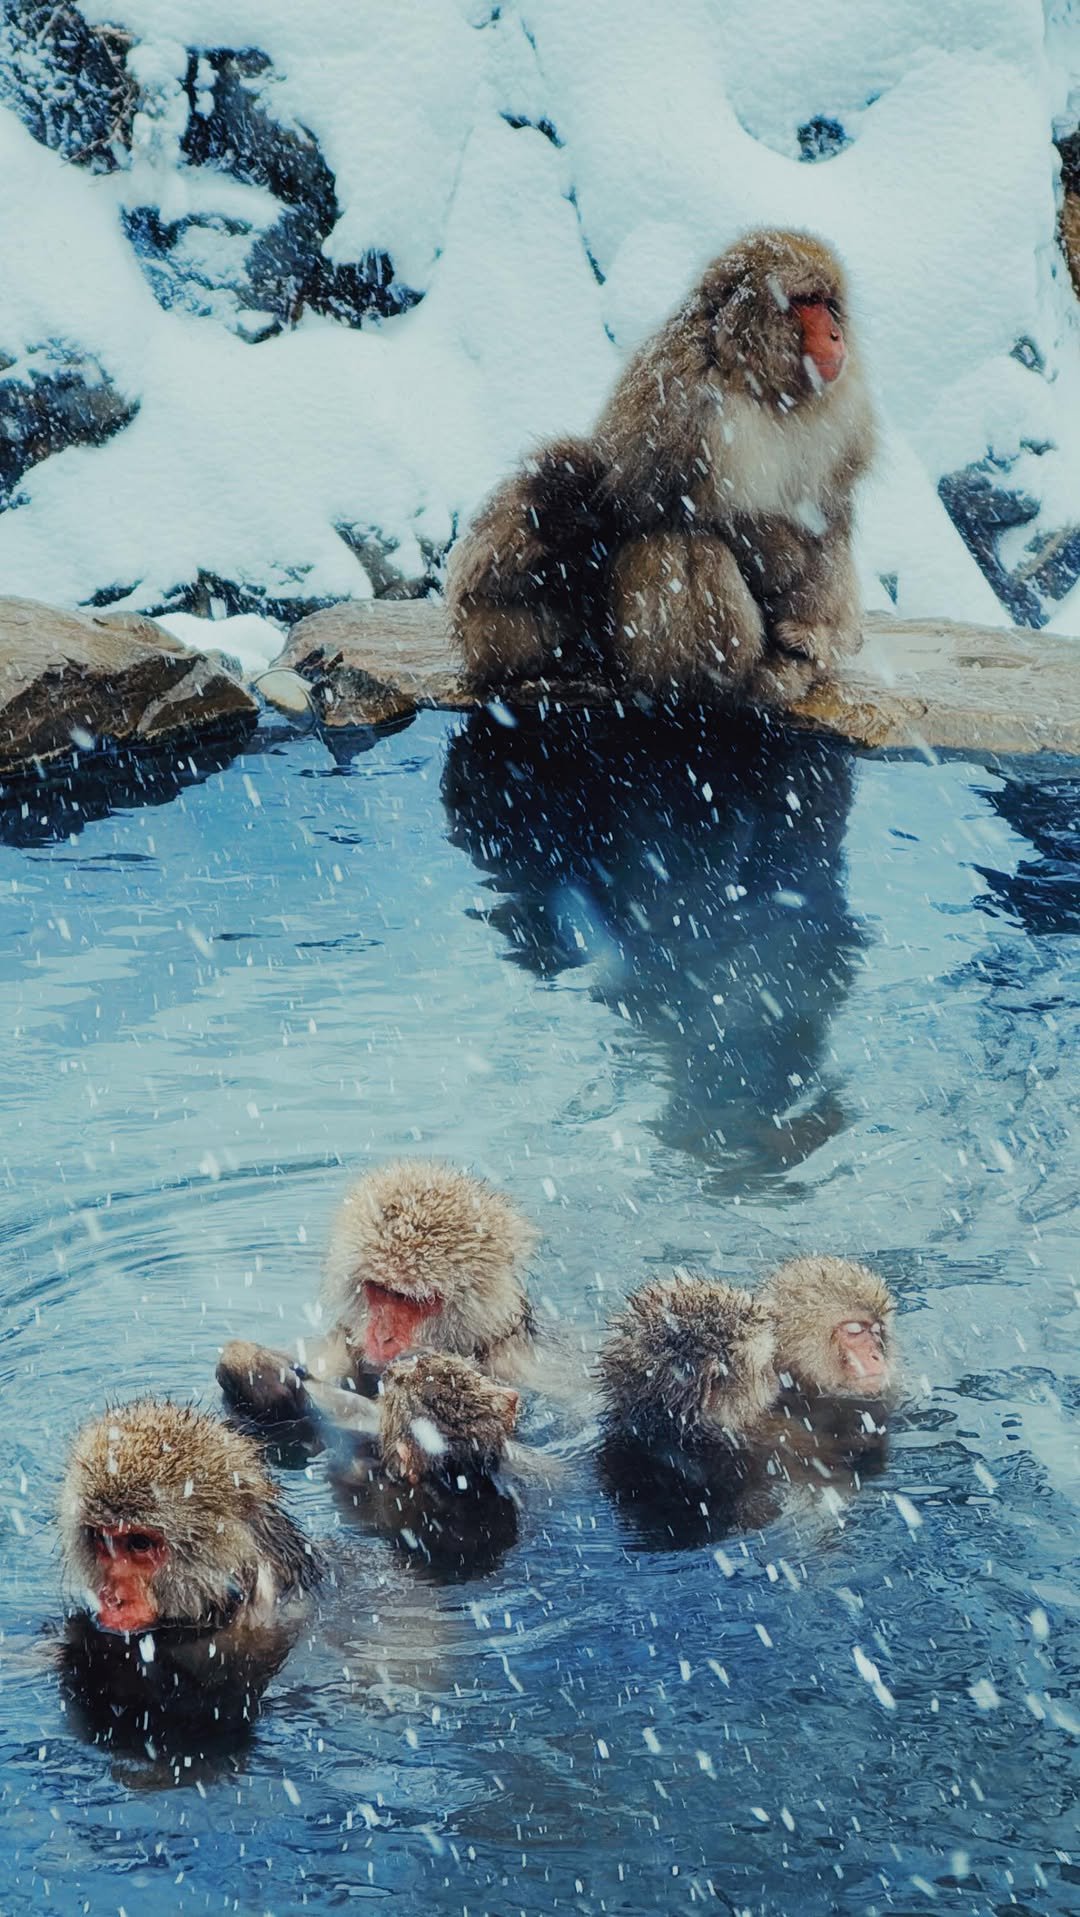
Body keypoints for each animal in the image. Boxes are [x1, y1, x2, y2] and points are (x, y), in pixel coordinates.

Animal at [447, 227, 876, 707]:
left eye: (829, 303)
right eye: (806, 301)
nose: (836, 335)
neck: (757, 387)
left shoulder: (843, 421)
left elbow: (830, 515)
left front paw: (806, 632)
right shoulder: (674, 399)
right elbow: (639, 509)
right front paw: (780, 555)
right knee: (682, 543)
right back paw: (720, 681)